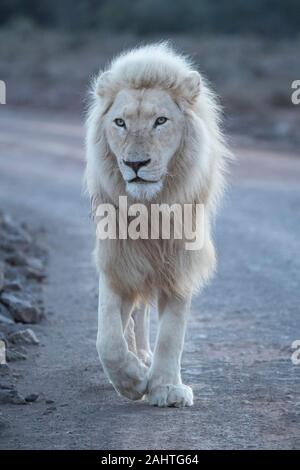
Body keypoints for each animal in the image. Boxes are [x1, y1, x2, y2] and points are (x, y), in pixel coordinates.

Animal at [84, 42, 230, 406]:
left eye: (160, 121)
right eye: (120, 122)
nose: (135, 163)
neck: (151, 211)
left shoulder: (180, 262)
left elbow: (172, 334)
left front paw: (165, 388)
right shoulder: (118, 260)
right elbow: (108, 339)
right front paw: (133, 379)